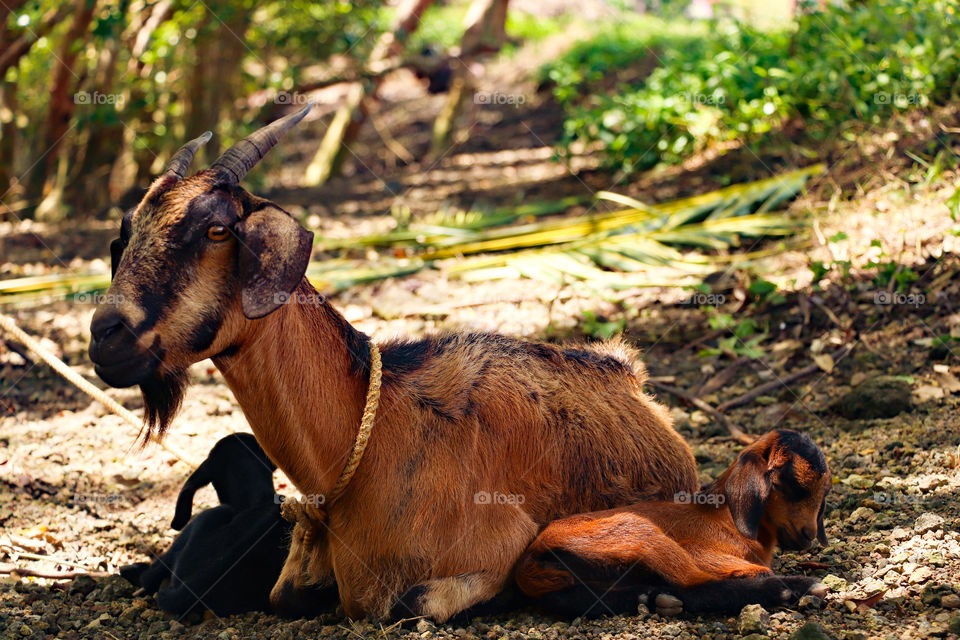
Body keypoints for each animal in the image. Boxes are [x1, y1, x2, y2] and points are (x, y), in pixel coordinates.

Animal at [514, 429, 831, 617]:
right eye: (787, 485)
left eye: (824, 491)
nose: (809, 534)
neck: (725, 517)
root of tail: (531, 560)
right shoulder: (703, 552)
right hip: (642, 534)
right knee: (695, 589)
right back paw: (795, 587)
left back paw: (650, 598)